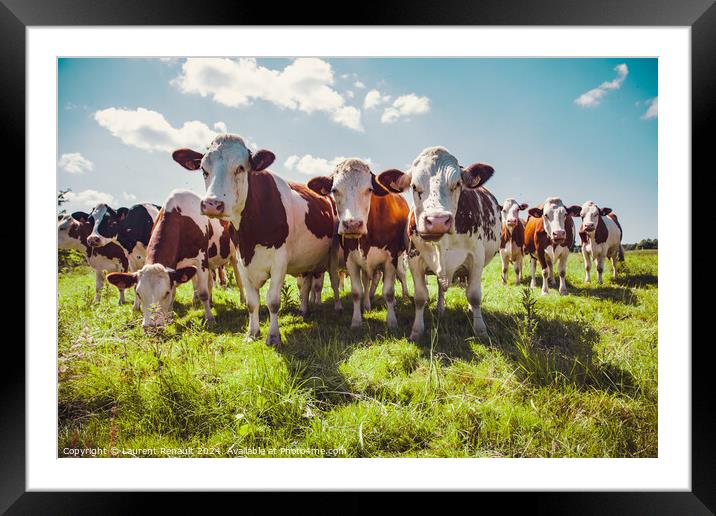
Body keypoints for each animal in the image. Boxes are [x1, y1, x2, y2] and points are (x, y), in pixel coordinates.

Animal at [105, 191, 241, 328]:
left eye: (166, 293)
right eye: (138, 294)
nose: (151, 326)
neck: (180, 217)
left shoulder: (201, 260)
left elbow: (203, 293)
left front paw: (210, 319)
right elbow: (176, 292)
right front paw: (169, 318)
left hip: (234, 256)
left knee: (238, 279)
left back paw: (242, 300)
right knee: (210, 282)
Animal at [173, 134, 342, 346]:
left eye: (240, 167)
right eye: (204, 169)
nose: (212, 204)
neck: (250, 236)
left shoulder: (279, 262)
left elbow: (273, 301)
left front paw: (273, 336)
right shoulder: (241, 261)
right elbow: (252, 302)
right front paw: (252, 332)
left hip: (332, 255)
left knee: (332, 281)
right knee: (305, 285)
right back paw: (303, 310)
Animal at [306, 157, 408, 328]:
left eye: (369, 189)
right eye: (335, 190)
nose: (352, 224)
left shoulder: (391, 259)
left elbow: (388, 291)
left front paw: (392, 321)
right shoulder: (351, 260)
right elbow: (356, 292)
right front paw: (356, 320)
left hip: (399, 258)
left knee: (398, 276)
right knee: (367, 282)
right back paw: (366, 303)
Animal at [378, 146, 500, 338]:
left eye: (457, 184)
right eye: (414, 186)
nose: (437, 221)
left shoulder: (476, 258)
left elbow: (474, 295)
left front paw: (480, 330)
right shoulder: (414, 259)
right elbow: (420, 296)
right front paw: (417, 331)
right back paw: (441, 309)